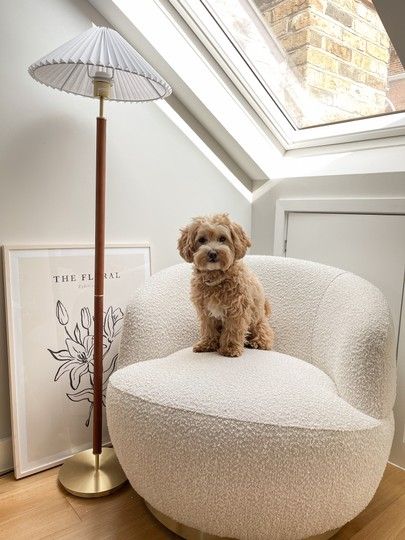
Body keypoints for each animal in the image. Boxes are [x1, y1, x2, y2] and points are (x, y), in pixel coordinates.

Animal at [178, 213, 274, 356]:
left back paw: (257, 342)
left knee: (267, 335)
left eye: (222, 238)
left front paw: (230, 348)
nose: (212, 253)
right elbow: (208, 329)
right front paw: (207, 344)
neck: (216, 277)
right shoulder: (206, 312)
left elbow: (233, 330)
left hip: (258, 322)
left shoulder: (237, 310)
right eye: (202, 240)